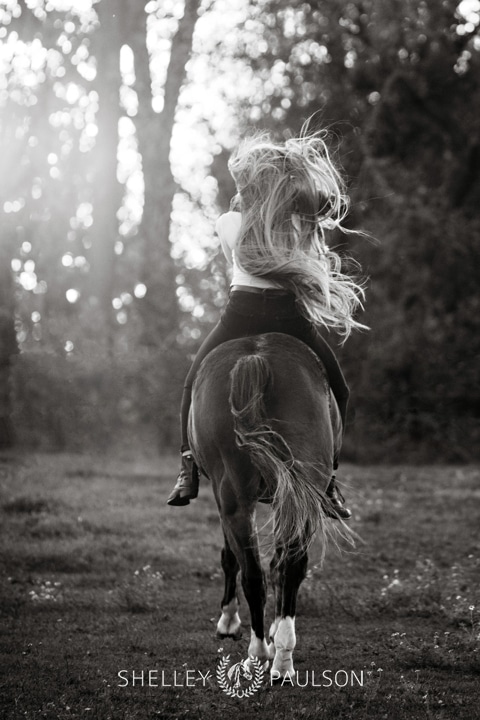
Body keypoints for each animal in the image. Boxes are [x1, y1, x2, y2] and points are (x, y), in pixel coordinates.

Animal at [188, 332, 352, 680]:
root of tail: (256, 356)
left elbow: (232, 559)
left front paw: (229, 621)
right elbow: (271, 562)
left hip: (237, 498)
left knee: (255, 574)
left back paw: (260, 652)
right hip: (298, 491)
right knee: (288, 568)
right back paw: (282, 659)